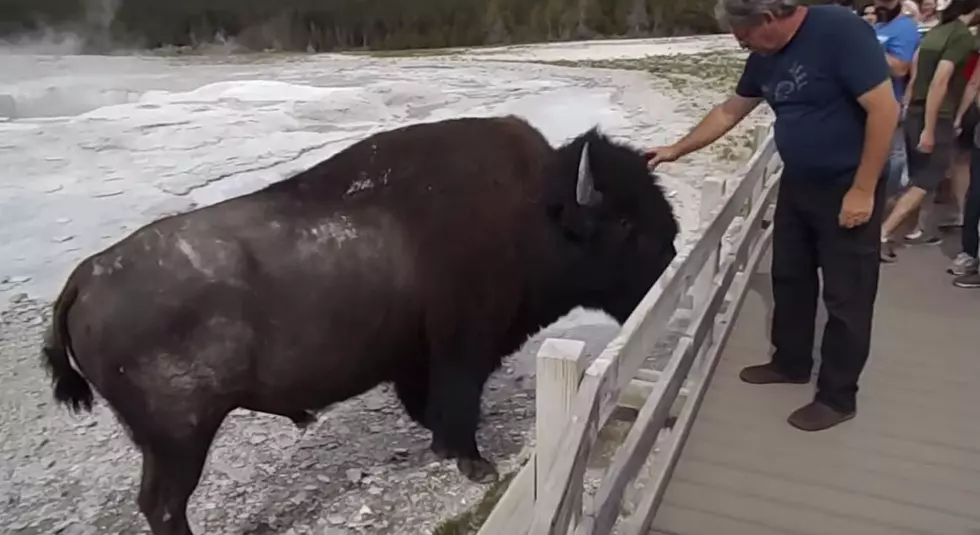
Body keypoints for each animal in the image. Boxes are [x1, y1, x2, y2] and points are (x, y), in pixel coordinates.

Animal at [42, 115, 676, 532]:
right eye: (624, 223)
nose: (672, 252)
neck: (533, 211)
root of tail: (85, 277)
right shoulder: (461, 349)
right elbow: (458, 404)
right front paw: (475, 463)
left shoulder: (419, 359)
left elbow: (432, 406)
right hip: (179, 441)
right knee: (163, 505)